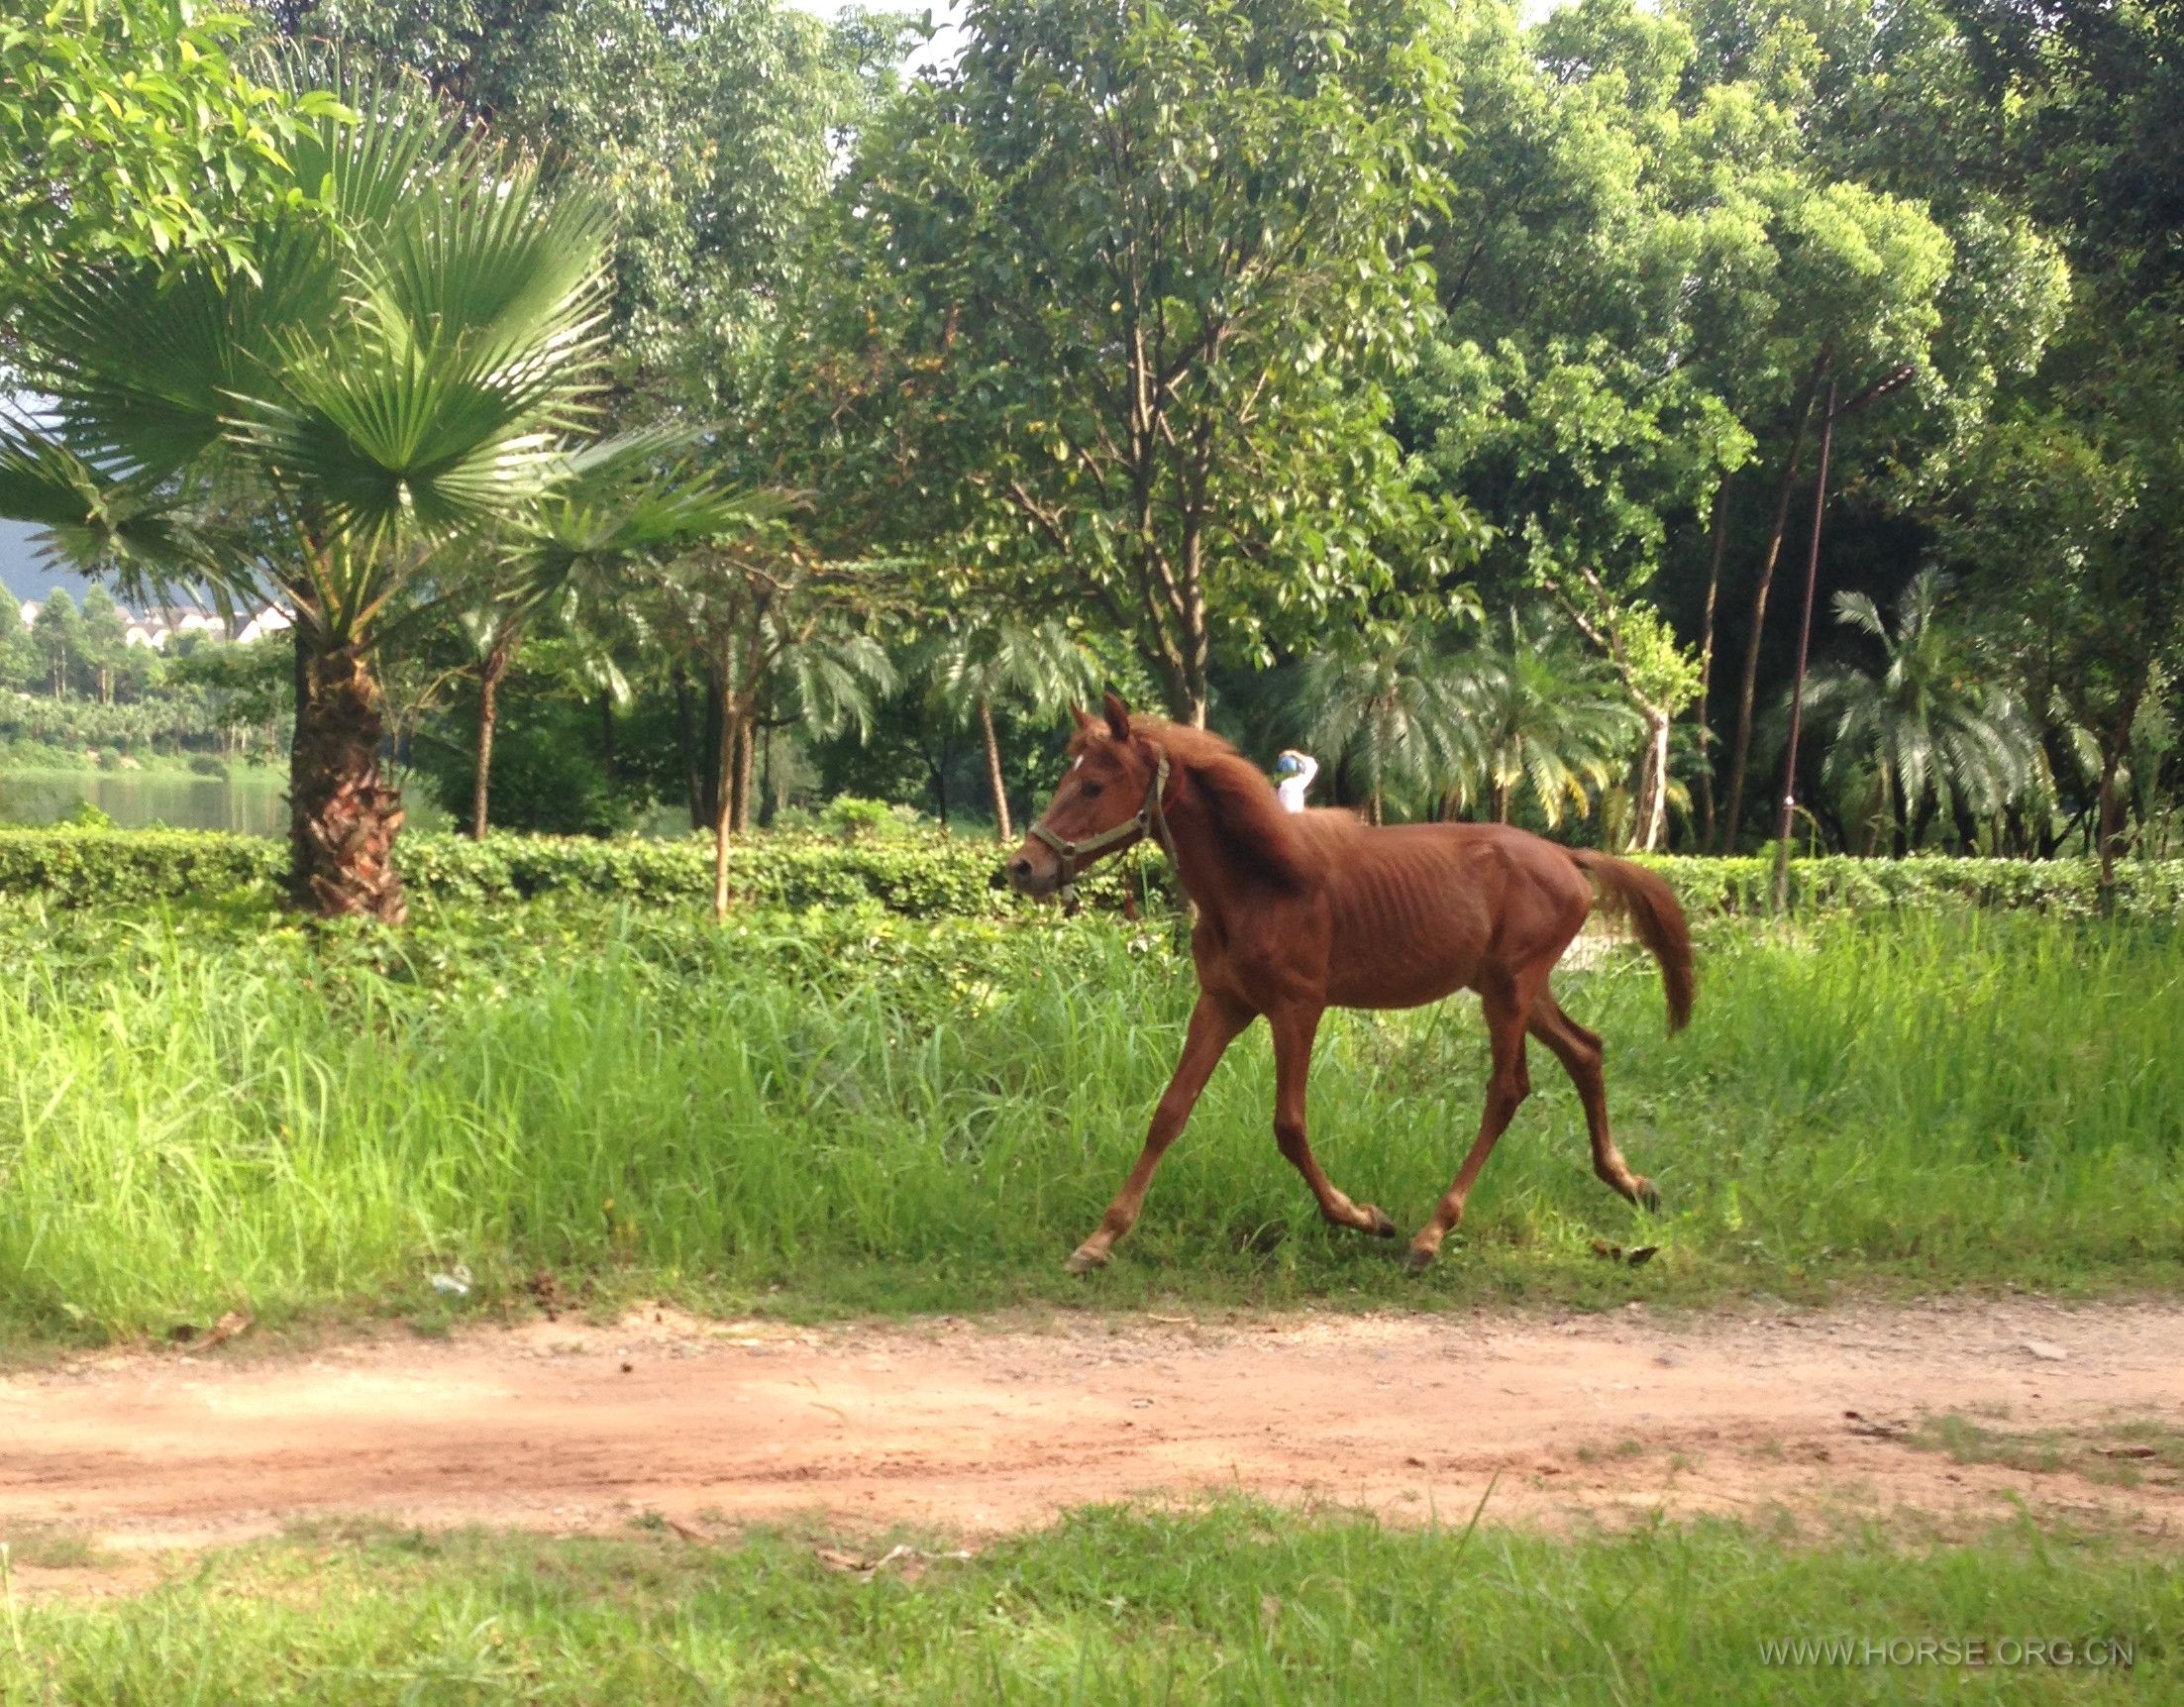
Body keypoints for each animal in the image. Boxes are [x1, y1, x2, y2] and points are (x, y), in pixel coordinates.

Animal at [999, 691, 1686, 1267]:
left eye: (1093, 785)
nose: (1024, 867)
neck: (1258, 884)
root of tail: (1568, 858)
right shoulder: (1222, 1003)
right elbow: (1169, 1112)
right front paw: (1100, 1238)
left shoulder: (1297, 1008)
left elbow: (1288, 1125)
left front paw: (1363, 1217)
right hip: (1516, 988)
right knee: (1585, 1051)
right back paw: (1632, 1184)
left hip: (1511, 992)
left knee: (1508, 1090)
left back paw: (1431, 1234)